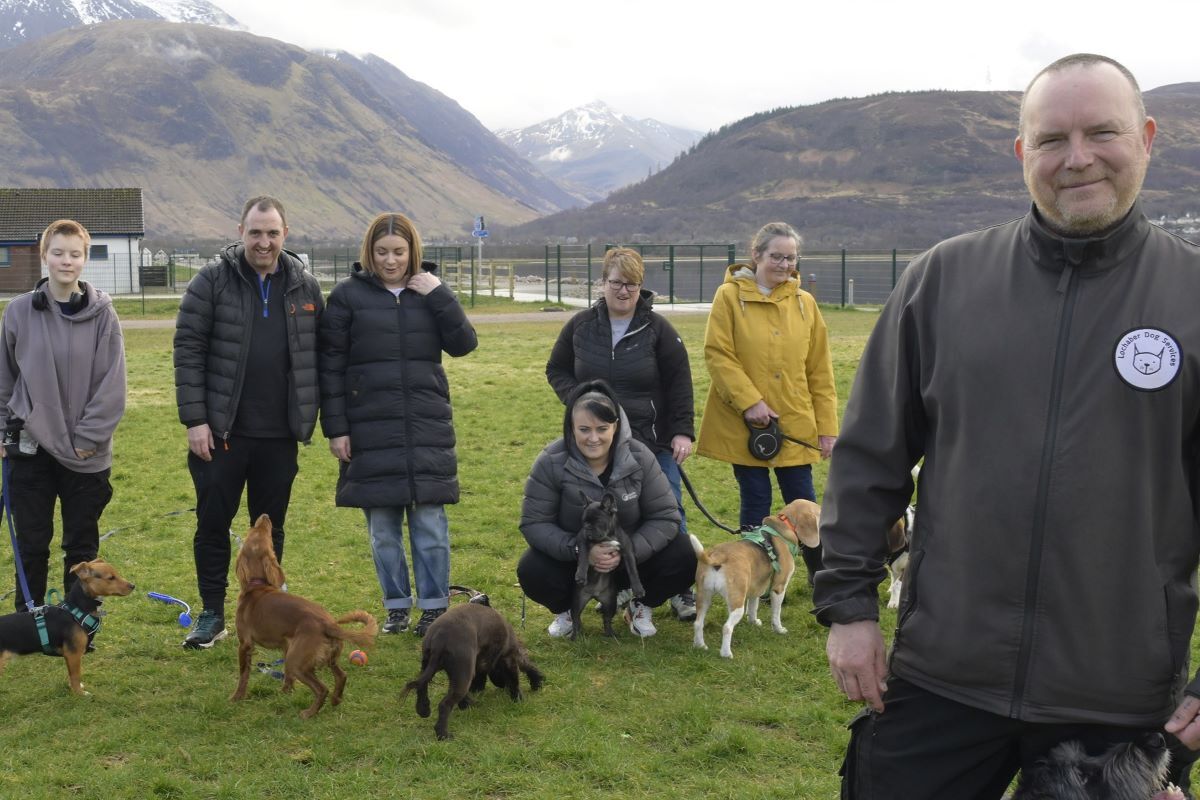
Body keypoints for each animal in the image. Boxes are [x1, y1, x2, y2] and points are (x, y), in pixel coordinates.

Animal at [0, 561, 135, 695]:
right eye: (111, 578)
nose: (133, 586)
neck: (77, 610)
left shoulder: (69, 657)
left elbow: (71, 675)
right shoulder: (73, 654)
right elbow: (76, 676)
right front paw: (79, 693)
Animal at [225, 515, 374, 724]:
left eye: (254, 531)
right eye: (259, 531)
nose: (265, 516)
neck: (257, 585)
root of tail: (329, 624)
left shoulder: (245, 644)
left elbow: (243, 675)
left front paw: (236, 697)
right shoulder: (286, 645)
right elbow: (287, 678)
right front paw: (285, 692)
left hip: (297, 662)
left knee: (322, 689)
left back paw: (309, 713)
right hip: (326, 658)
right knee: (342, 676)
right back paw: (336, 700)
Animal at [403, 604, 544, 743]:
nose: (502, 686)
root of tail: (439, 638)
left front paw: (467, 703)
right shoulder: (509, 658)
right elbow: (518, 676)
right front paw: (522, 696)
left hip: (430, 665)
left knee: (421, 686)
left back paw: (423, 710)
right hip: (463, 672)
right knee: (444, 704)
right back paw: (443, 735)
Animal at [573, 491, 648, 642]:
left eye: (597, 521)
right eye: (584, 521)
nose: (586, 528)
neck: (607, 537)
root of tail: (594, 595)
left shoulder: (627, 551)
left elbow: (633, 571)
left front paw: (638, 589)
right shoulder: (582, 540)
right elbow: (583, 558)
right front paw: (581, 575)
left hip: (610, 602)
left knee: (607, 618)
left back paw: (610, 634)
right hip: (578, 600)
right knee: (576, 617)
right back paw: (575, 636)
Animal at [691, 496, 820, 662]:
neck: (784, 526)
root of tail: (717, 557)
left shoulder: (756, 587)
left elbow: (753, 607)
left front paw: (753, 622)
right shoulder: (779, 587)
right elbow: (776, 613)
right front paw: (779, 629)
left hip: (703, 597)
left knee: (697, 623)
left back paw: (700, 645)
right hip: (736, 602)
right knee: (727, 627)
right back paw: (726, 653)